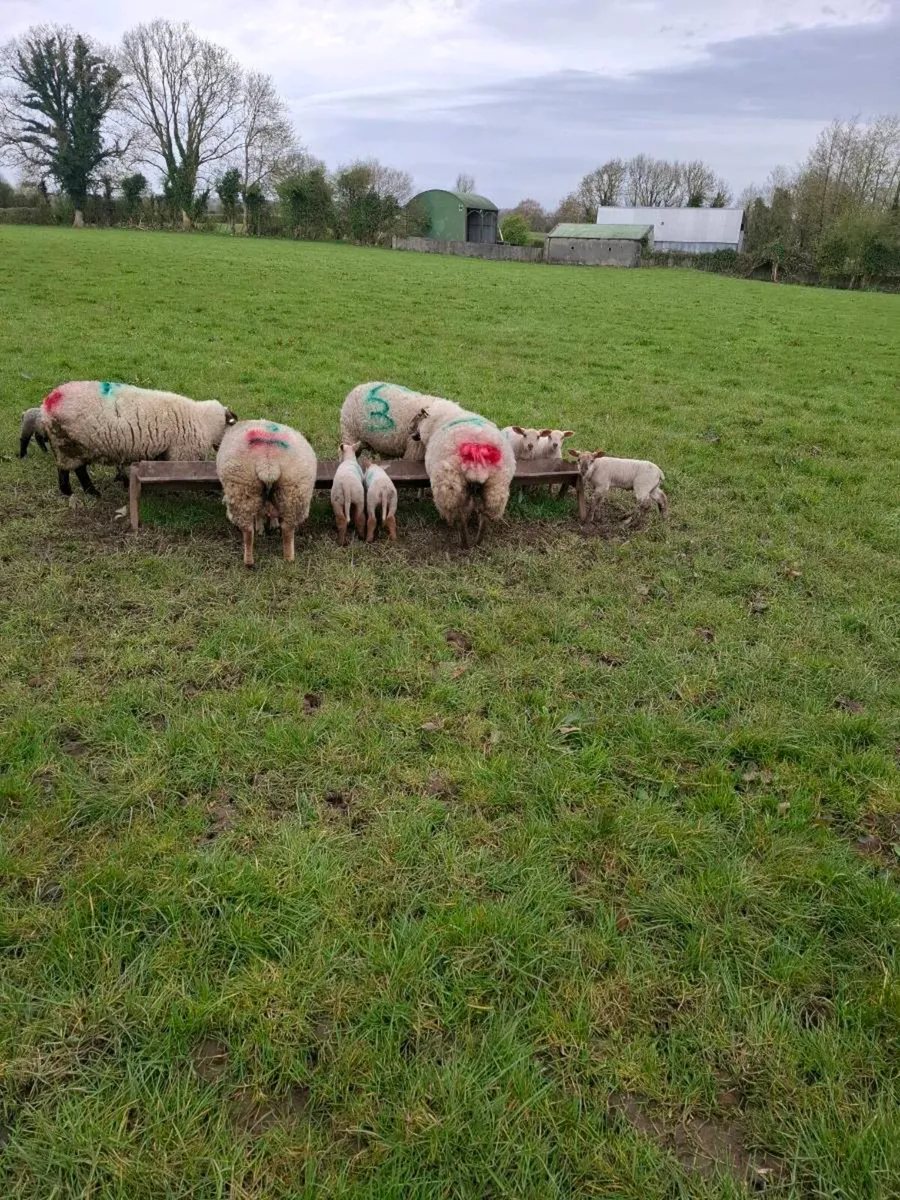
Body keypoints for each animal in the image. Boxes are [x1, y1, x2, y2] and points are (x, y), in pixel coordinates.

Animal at [40, 381, 237, 497]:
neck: (203, 420)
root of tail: (48, 403)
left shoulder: (166, 451)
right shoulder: (181, 453)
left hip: (69, 445)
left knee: (70, 469)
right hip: (69, 444)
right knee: (74, 470)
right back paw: (81, 491)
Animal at [216, 420, 317, 568]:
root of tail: (268, 461)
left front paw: (261, 526)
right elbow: (269, 509)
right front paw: (270, 524)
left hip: (243, 488)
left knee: (248, 532)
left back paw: (249, 561)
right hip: (293, 489)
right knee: (288, 529)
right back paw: (288, 558)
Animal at [410, 403, 515, 547]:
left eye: (418, 416)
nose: (411, 433)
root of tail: (477, 451)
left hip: (450, 485)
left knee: (460, 516)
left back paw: (463, 542)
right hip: (496, 485)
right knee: (485, 515)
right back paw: (478, 541)